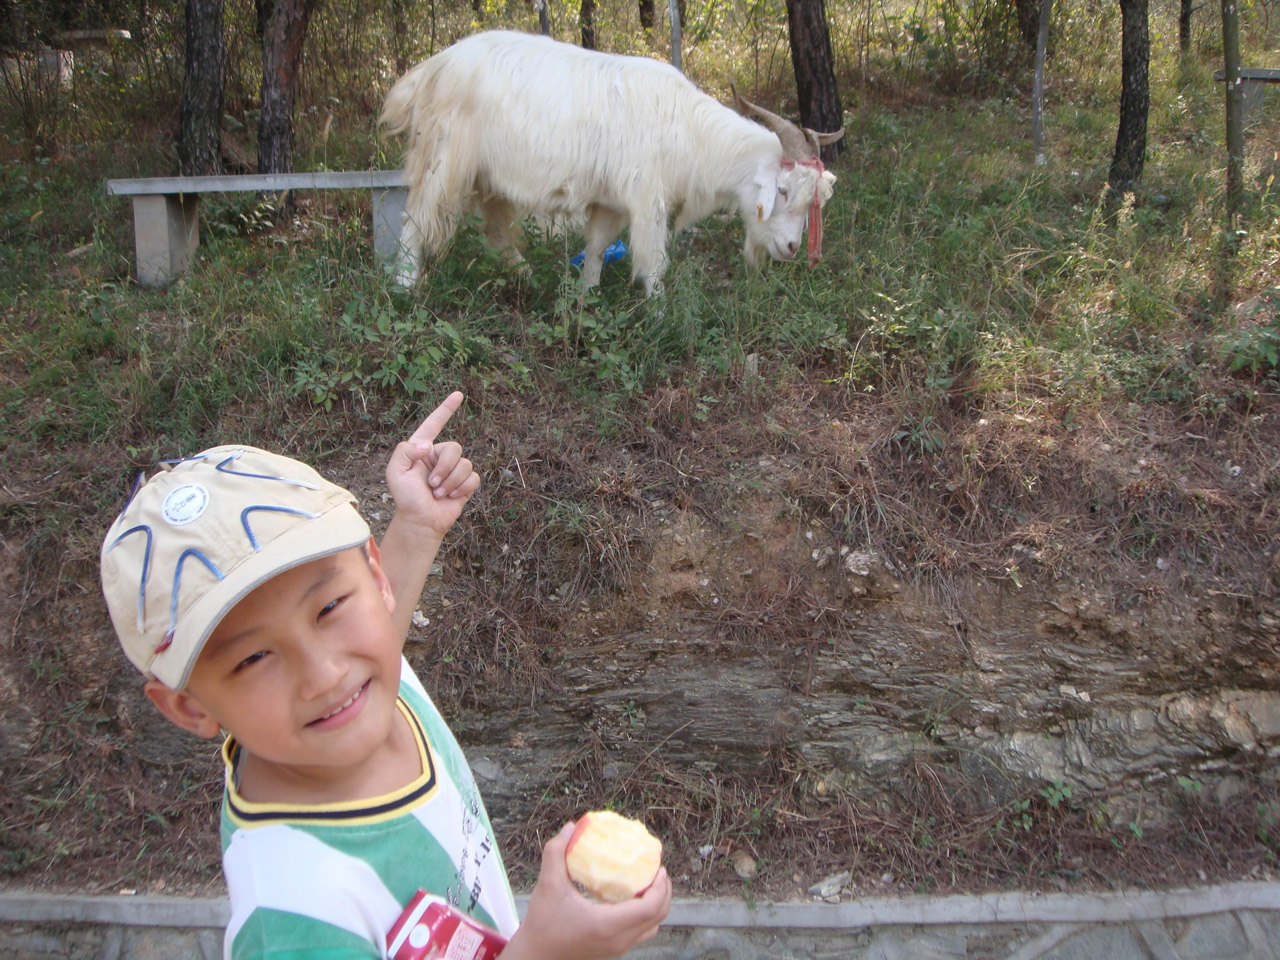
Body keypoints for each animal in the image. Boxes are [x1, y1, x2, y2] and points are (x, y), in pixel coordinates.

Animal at [378, 32, 839, 295]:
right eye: (783, 190)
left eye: (814, 202)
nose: (792, 248)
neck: (690, 131)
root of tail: (433, 68)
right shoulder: (647, 199)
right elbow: (653, 260)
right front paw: (659, 311)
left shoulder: (612, 201)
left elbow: (598, 247)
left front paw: (586, 297)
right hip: (444, 157)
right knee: (416, 216)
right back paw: (405, 286)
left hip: (485, 175)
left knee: (495, 228)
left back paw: (527, 277)